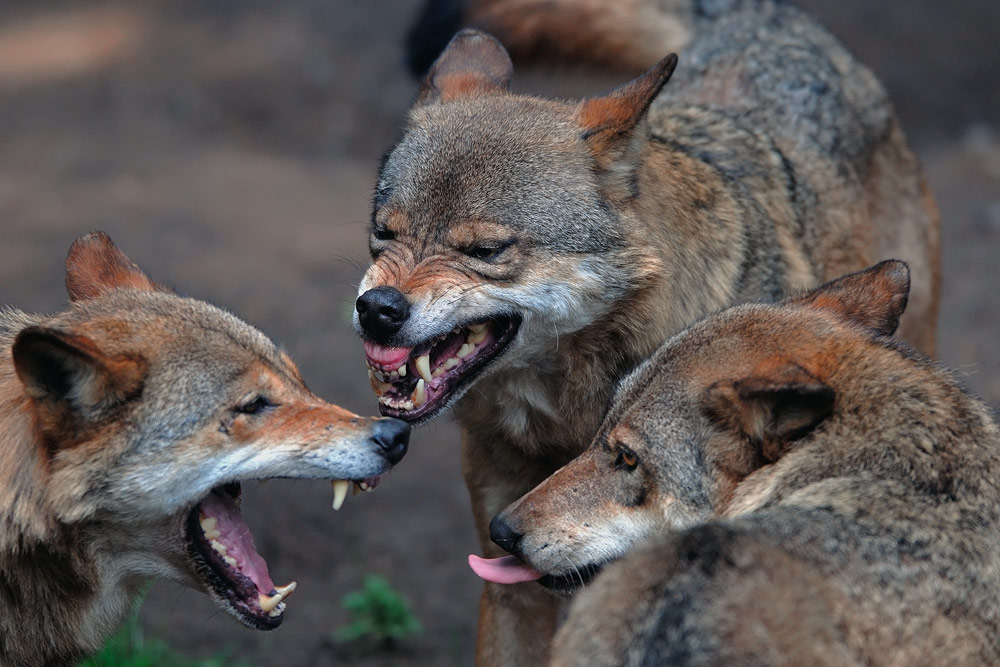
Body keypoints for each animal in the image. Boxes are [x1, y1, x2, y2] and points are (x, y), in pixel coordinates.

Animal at [358, 0, 936, 660]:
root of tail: (766, 18)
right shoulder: (511, 579)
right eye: (384, 231)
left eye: (484, 250)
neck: (566, 420)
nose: (377, 308)